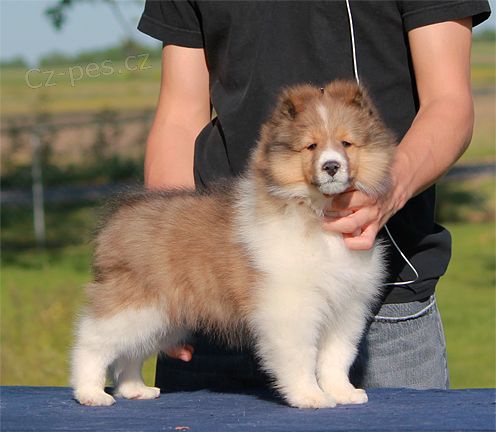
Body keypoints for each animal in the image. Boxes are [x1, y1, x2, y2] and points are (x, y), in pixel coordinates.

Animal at [70, 80, 396, 408]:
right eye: (311, 146)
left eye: (346, 143)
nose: (331, 166)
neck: (316, 212)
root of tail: (117, 218)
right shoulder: (291, 309)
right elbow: (301, 358)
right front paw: (310, 396)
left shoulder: (346, 308)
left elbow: (336, 357)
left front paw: (342, 392)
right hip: (134, 306)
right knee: (92, 343)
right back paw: (90, 393)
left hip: (164, 315)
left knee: (129, 355)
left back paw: (135, 389)